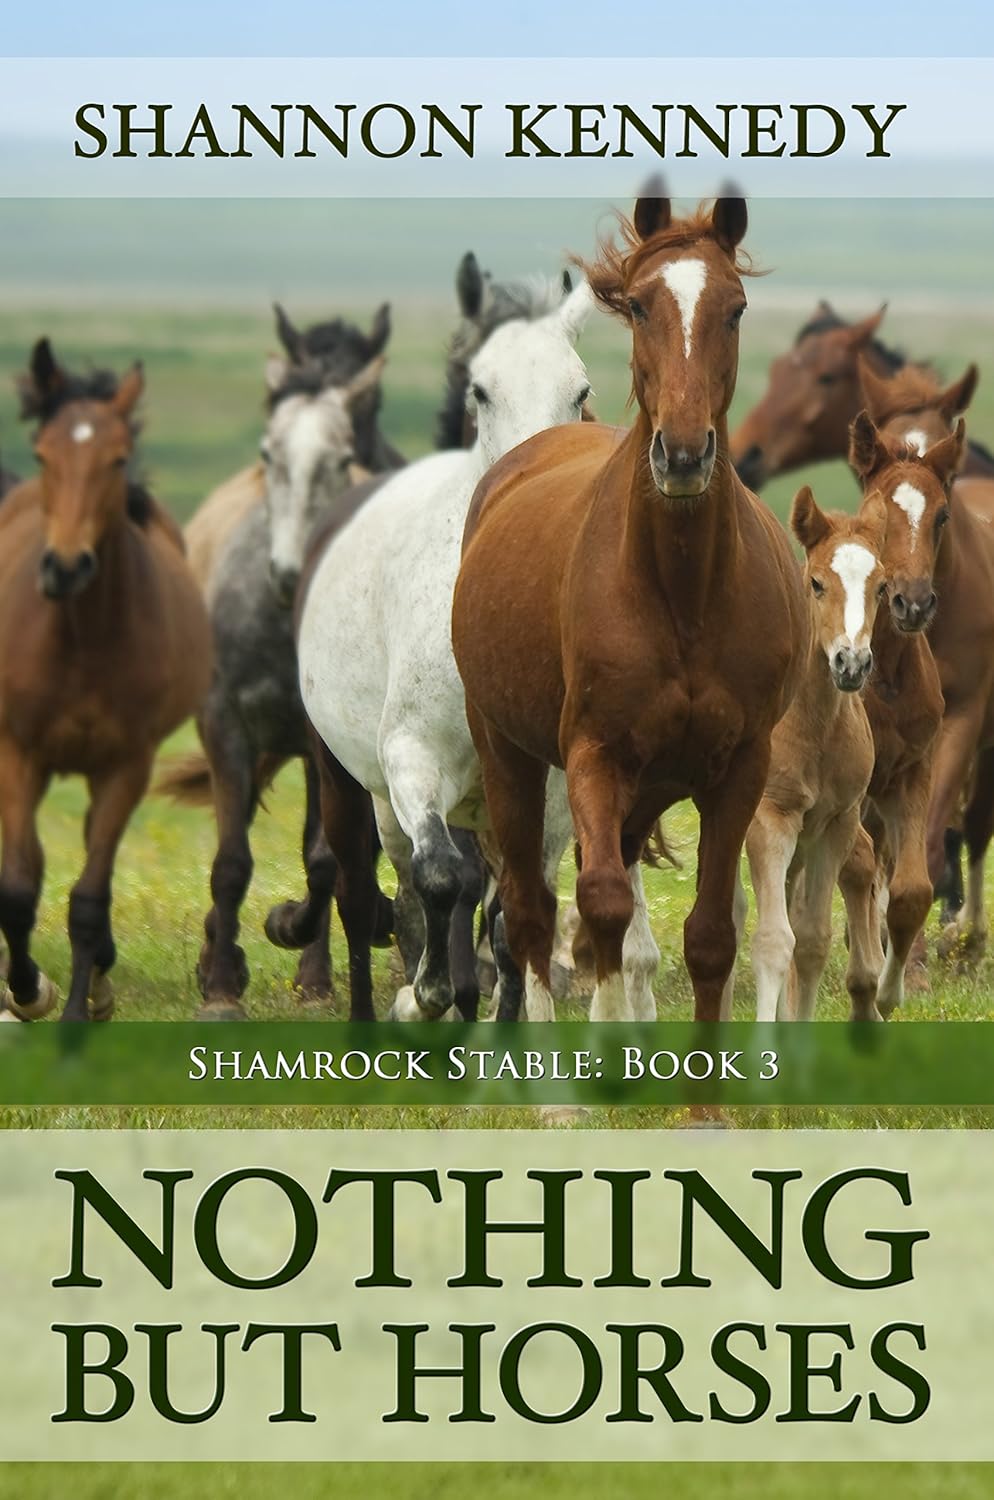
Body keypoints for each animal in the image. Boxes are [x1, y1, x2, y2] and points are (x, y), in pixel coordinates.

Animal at [0, 341, 211, 1022]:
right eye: (43, 454)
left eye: (117, 458)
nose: (65, 567)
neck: (83, 639)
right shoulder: (19, 753)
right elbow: (18, 887)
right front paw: (29, 991)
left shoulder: (126, 765)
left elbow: (90, 898)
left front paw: (78, 1008)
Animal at [158, 354, 387, 1018]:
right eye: (269, 453)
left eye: (341, 457)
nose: (288, 573)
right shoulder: (224, 725)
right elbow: (231, 861)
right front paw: (221, 987)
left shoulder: (320, 745)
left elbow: (323, 860)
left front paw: (301, 952)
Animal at [286, 278, 594, 1024]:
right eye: (479, 389)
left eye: (580, 390)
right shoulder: (412, 758)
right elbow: (438, 879)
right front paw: (420, 1001)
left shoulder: (545, 798)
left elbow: (513, 920)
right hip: (349, 782)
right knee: (365, 887)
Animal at [452, 190, 807, 1024]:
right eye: (641, 306)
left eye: (736, 308)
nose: (682, 454)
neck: (682, 595)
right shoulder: (595, 753)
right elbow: (601, 903)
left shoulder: (738, 768)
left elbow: (709, 935)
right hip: (508, 755)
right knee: (529, 911)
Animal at [728, 485, 888, 1021]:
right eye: (817, 583)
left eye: (882, 588)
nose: (851, 663)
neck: (815, 726)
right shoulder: (770, 817)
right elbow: (774, 940)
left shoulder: (835, 822)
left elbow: (812, 940)